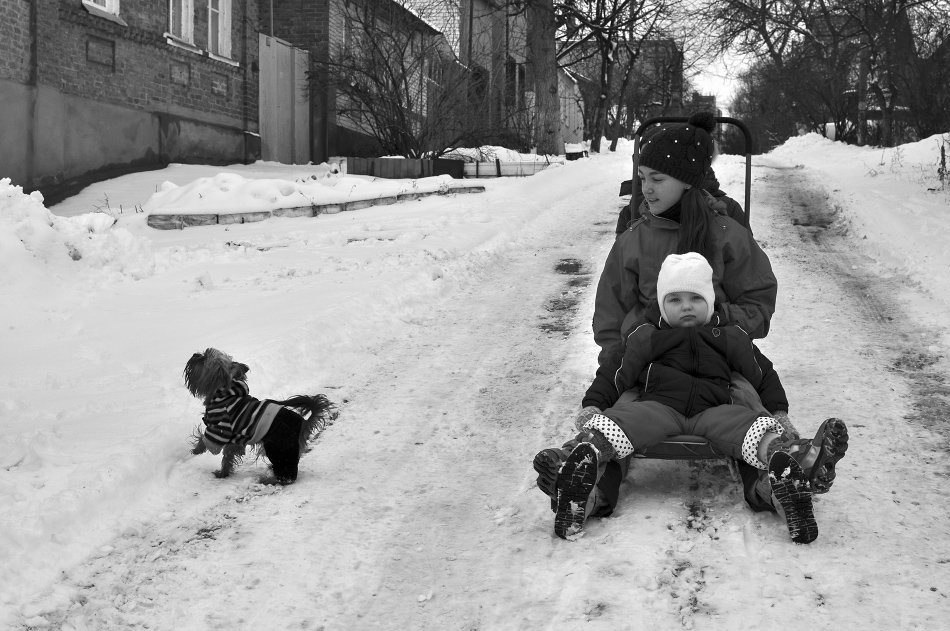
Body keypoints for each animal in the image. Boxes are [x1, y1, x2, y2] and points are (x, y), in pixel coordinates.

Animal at [184, 348, 336, 486]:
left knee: (287, 476)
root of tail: (303, 422)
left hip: (279, 449)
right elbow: (228, 455)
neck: (227, 392)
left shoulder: (219, 428)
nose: (195, 354)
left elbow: (206, 440)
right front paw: (223, 471)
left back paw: (268, 480)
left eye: (204, 358)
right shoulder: (235, 439)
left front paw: (197, 452)